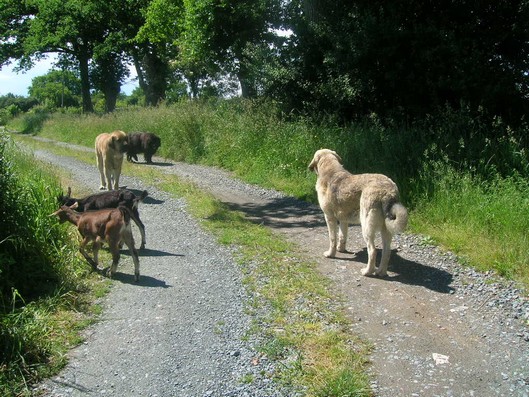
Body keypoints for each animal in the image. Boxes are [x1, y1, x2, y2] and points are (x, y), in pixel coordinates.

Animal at [308, 148, 406, 276]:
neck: (331, 171)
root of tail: (388, 192)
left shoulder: (329, 217)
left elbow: (332, 238)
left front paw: (330, 254)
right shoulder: (343, 220)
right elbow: (342, 236)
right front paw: (341, 249)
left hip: (366, 227)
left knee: (373, 251)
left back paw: (367, 272)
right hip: (386, 230)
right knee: (386, 252)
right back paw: (381, 272)